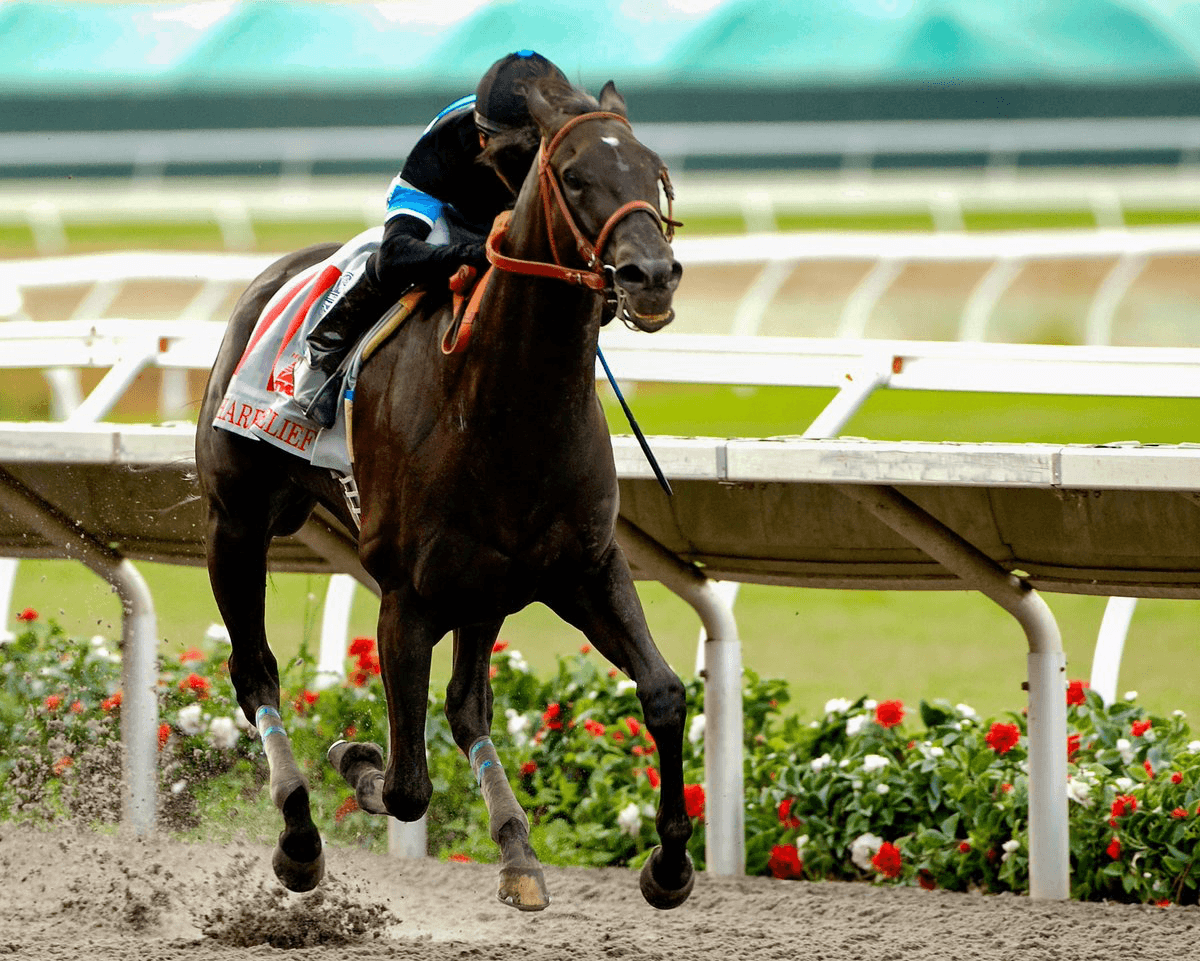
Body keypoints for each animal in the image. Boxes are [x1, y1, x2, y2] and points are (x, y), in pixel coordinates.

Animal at [198, 78, 696, 911]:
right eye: (574, 178)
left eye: (655, 172)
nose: (650, 277)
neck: (506, 404)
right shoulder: (407, 596)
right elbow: (405, 784)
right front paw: (354, 755)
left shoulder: (586, 566)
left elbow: (662, 693)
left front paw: (669, 866)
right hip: (234, 523)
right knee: (254, 667)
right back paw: (299, 837)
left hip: (485, 586)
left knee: (467, 707)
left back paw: (518, 852)